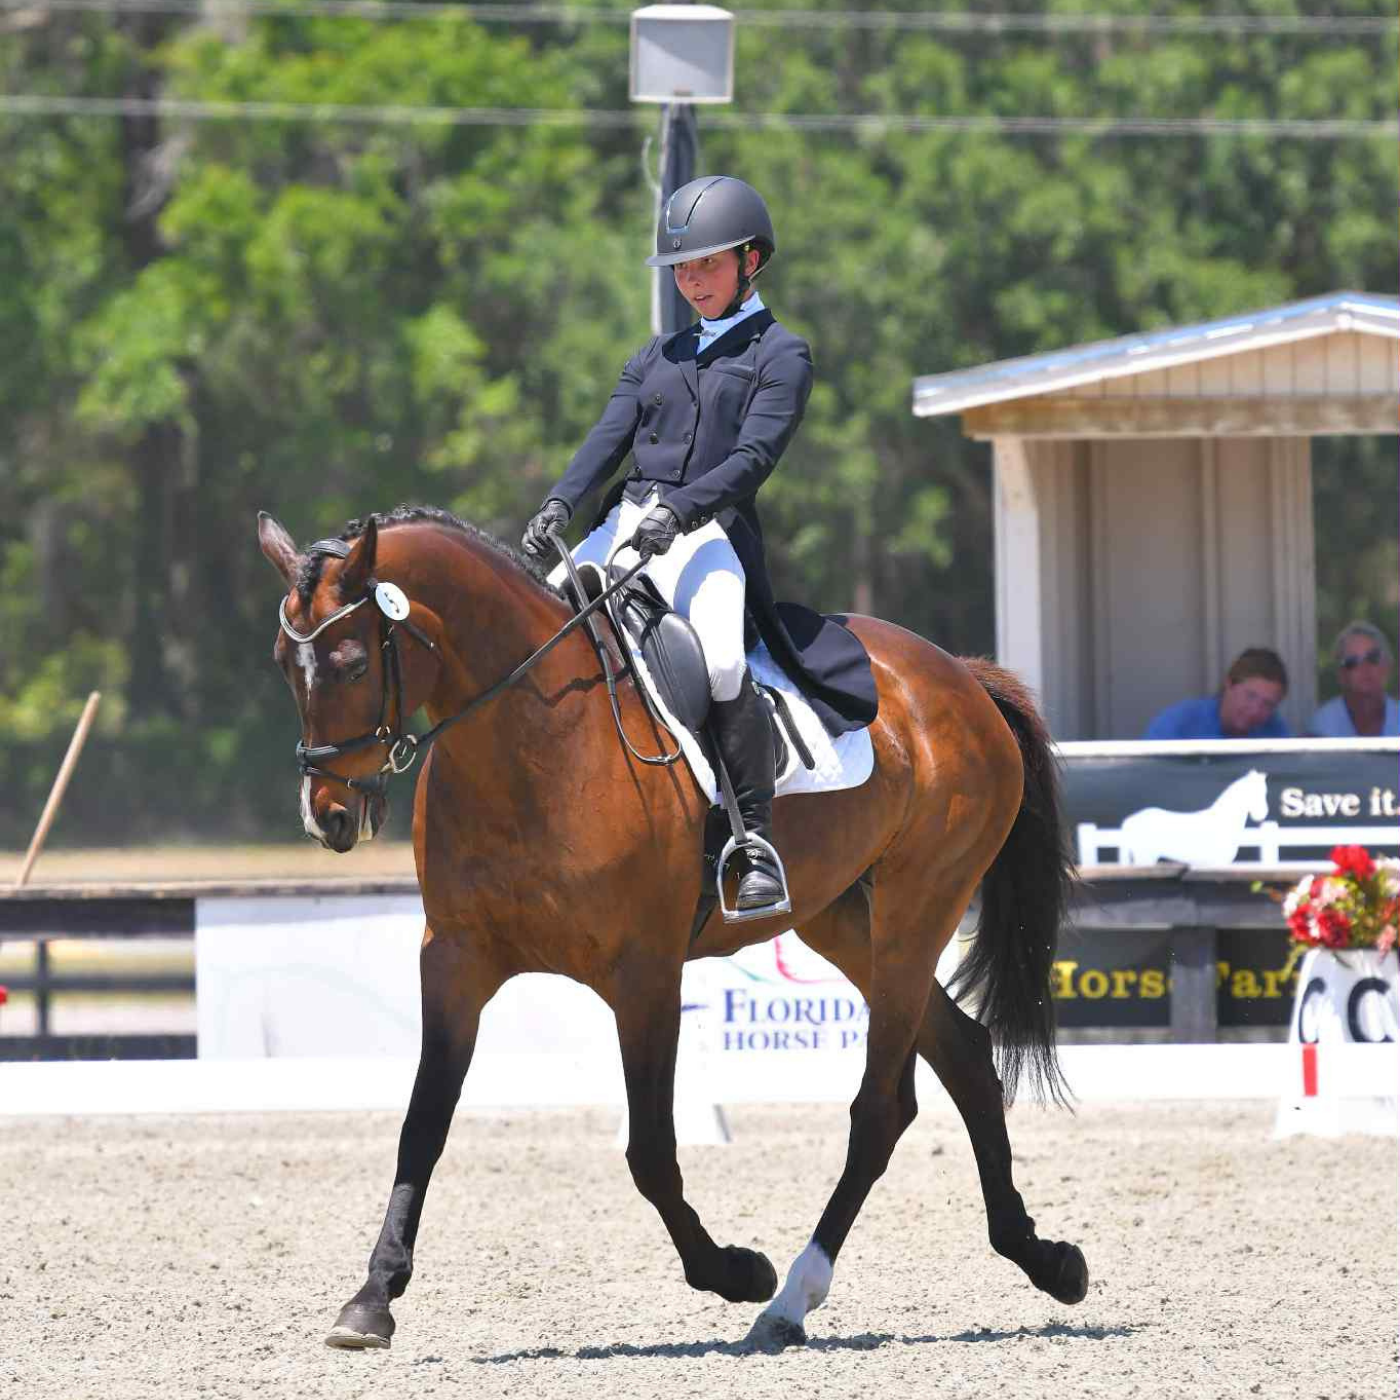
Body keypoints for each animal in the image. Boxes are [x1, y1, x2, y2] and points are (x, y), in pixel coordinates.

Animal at [257, 504, 1088, 1353]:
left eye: (352, 663)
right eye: (286, 665)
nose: (328, 817)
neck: (533, 739)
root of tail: (959, 675)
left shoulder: (645, 974)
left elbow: (651, 1150)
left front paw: (734, 1269)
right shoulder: (455, 959)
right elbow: (422, 1126)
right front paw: (372, 1298)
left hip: (916, 911)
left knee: (882, 1109)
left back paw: (788, 1297)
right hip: (846, 922)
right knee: (965, 1056)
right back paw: (1044, 1259)